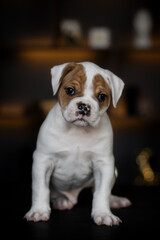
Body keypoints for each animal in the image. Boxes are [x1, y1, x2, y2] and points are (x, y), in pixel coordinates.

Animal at [24, 61, 131, 225]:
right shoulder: (43, 161)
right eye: (70, 90)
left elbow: (102, 192)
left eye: (101, 96)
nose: (84, 106)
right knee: (54, 194)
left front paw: (103, 213)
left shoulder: (104, 165)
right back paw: (62, 201)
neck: (78, 131)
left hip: (113, 172)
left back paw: (114, 200)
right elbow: (41, 189)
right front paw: (39, 211)